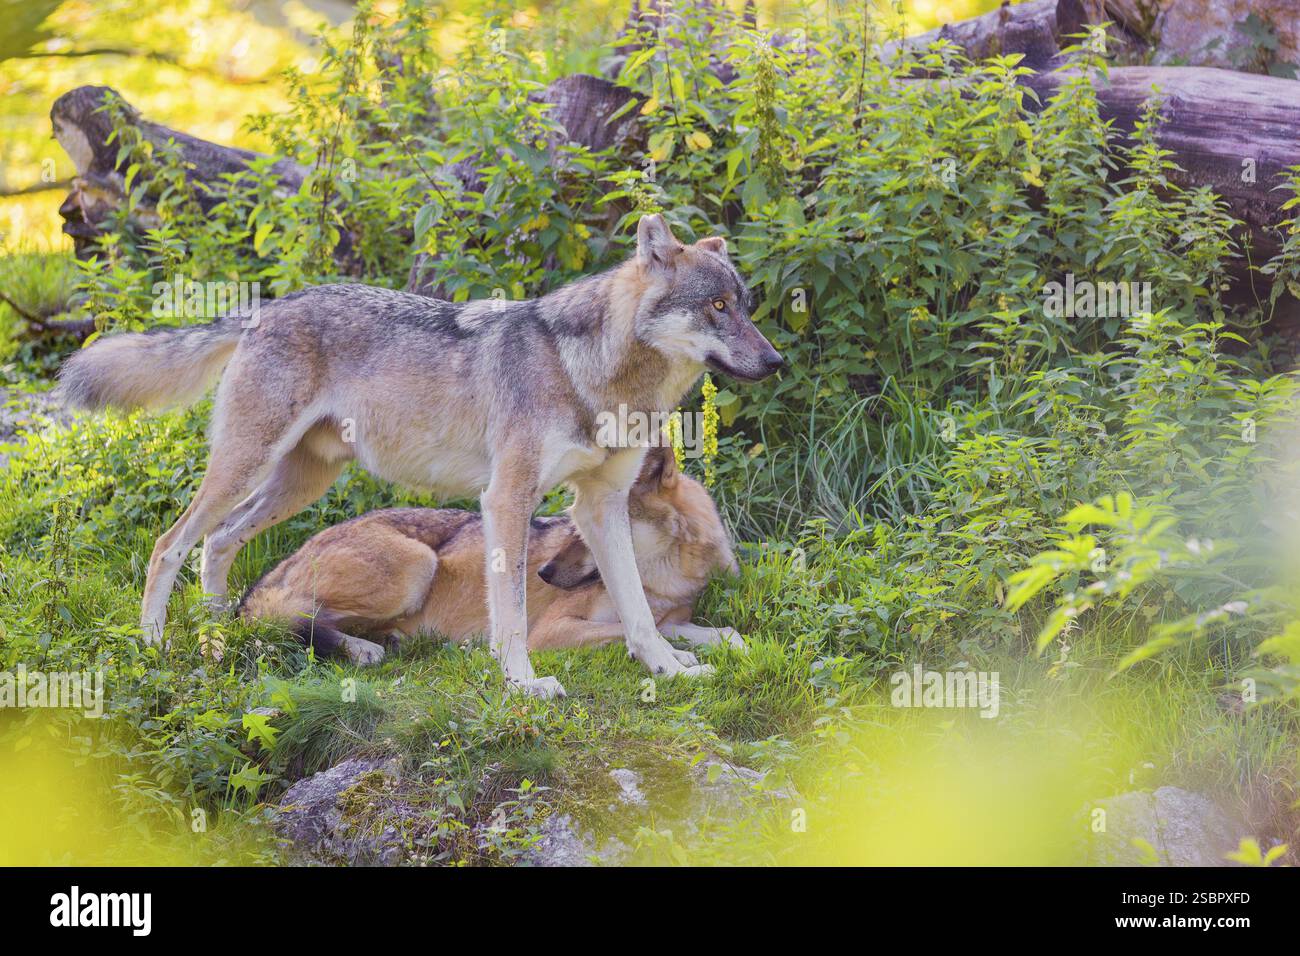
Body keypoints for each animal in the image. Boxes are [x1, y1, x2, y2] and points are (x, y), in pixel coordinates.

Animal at [239, 445, 742, 663]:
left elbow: (719, 632)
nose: (542, 573)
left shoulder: (675, 615)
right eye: (571, 527)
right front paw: (679, 658)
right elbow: (631, 630)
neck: (666, 580)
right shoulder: (549, 632)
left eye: (586, 531)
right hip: (415, 568)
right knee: (294, 619)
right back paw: (363, 649)